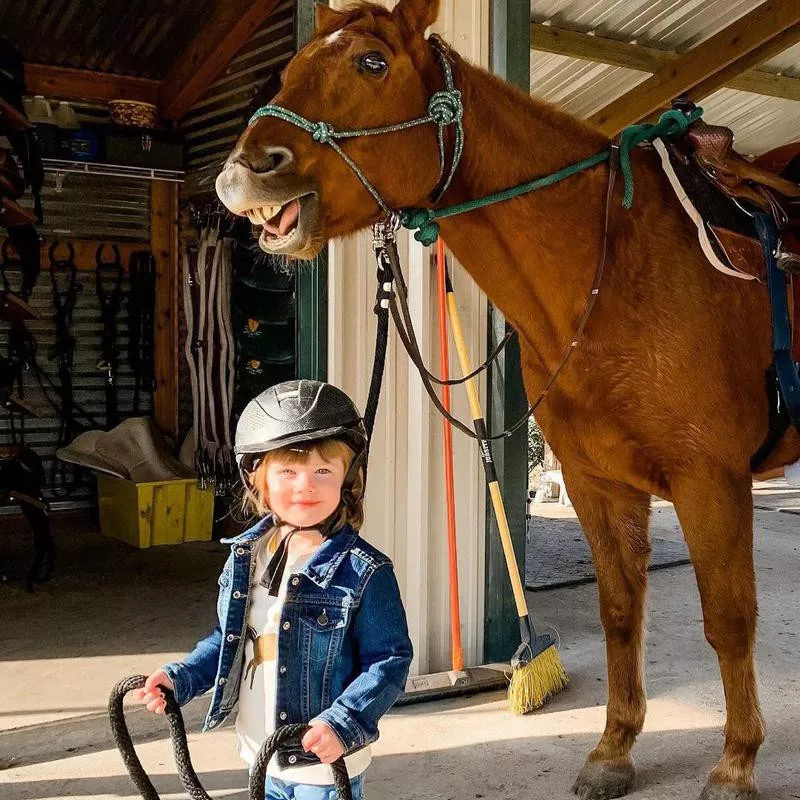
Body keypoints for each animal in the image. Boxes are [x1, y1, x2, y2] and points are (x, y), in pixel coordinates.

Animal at [214, 1, 800, 800]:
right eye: (290, 68)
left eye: (372, 62)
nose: (241, 176)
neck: (615, 267)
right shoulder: (596, 482)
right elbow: (621, 613)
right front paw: (615, 749)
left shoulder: (711, 480)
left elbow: (729, 619)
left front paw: (737, 760)